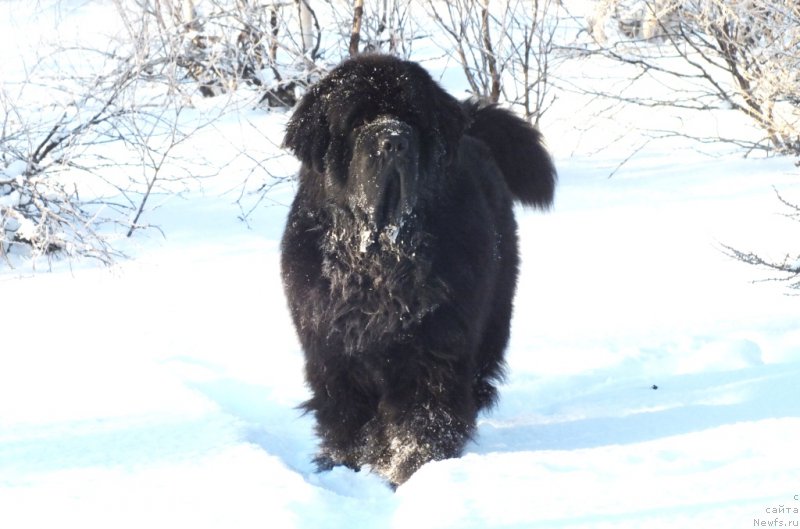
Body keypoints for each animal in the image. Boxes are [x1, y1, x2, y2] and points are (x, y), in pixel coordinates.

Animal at [278, 54, 552, 486]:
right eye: (358, 120)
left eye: (411, 117)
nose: (393, 140)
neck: (379, 258)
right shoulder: (333, 348)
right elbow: (348, 417)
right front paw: (346, 465)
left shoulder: (434, 344)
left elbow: (422, 416)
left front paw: (414, 471)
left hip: (493, 312)